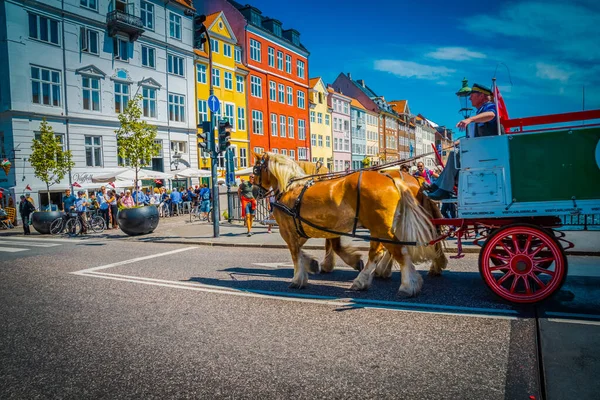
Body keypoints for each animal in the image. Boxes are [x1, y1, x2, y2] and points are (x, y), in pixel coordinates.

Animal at [253, 153, 440, 296]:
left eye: (255, 170)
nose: (254, 191)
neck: (291, 189)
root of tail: (393, 181)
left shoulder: (288, 230)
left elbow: (295, 253)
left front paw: (298, 278)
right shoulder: (312, 228)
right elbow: (312, 249)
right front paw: (313, 264)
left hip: (381, 227)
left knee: (398, 251)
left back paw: (408, 285)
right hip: (380, 227)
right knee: (379, 252)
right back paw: (364, 280)